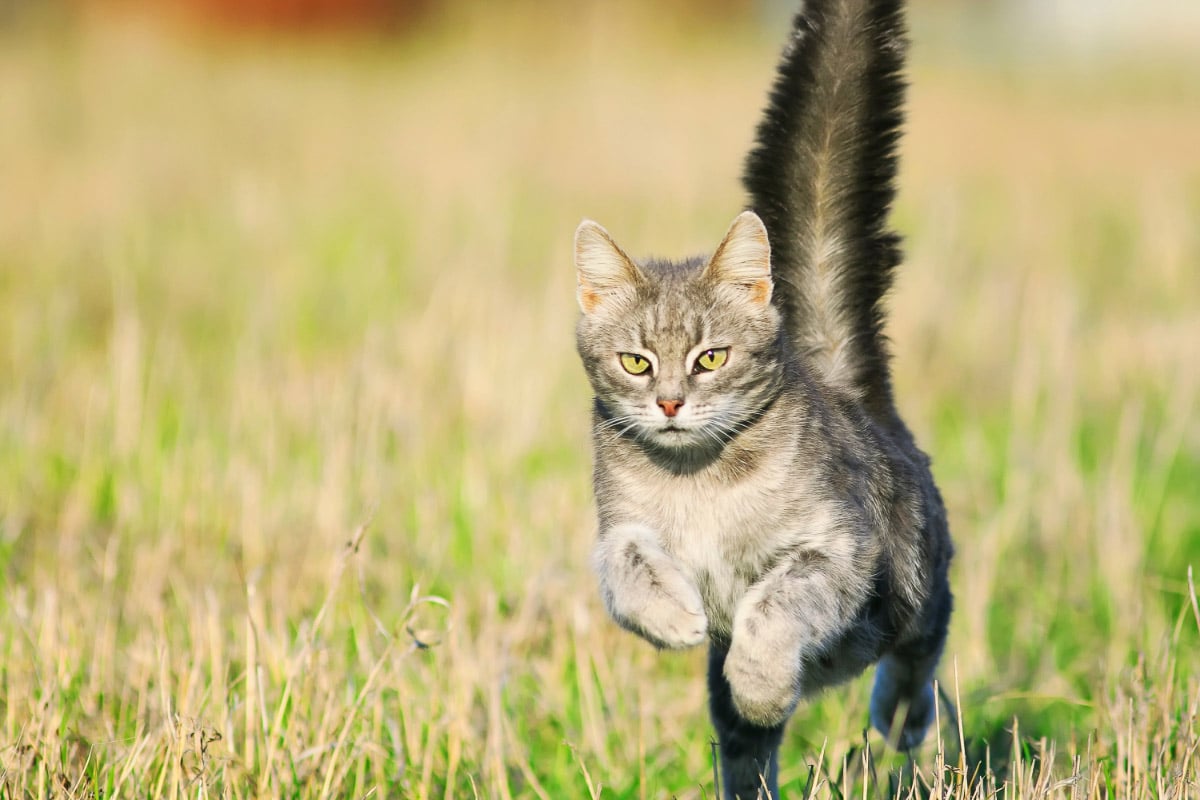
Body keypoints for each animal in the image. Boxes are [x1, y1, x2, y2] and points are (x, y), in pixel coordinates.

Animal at [576, 1, 950, 800]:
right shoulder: (620, 525)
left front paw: (761, 683)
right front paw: (676, 615)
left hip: (915, 586)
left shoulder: (840, 549)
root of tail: (842, 381)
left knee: (919, 658)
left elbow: (774, 602)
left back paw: (897, 715)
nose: (671, 404)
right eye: (636, 361)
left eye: (710, 357)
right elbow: (623, 561)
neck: (700, 482)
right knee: (745, 752)